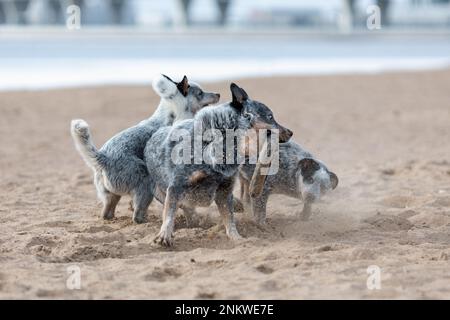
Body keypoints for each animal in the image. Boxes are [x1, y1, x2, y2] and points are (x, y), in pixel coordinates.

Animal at [69, 75, 221, 224]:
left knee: (107, 213)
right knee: (137, 216)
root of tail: (103, 158)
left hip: (112, 195)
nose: (218, 94)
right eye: (200, 93)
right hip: (145, 181)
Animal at [143, 81, 292, 246]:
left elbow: (229, 218)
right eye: (270, 116)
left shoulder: (224, 190)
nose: (290, 132)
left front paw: (236, 238)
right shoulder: (176, 185)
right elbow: (169, 213)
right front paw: (164, 234)